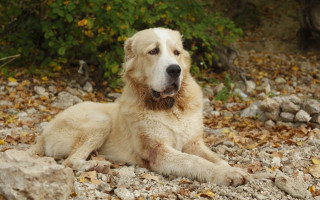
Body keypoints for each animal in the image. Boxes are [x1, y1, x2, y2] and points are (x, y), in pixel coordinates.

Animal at [28, 27, 249, 186]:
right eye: (153, 51)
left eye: (176, 52)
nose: (175, 70)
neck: (169, 106)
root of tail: (43, 134)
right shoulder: (160, 152)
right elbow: (196, 162)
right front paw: (225, 174)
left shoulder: (194, 144)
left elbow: (215, 158)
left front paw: (232, 169)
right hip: (100, 121)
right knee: (70, 161)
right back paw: (96, 165)